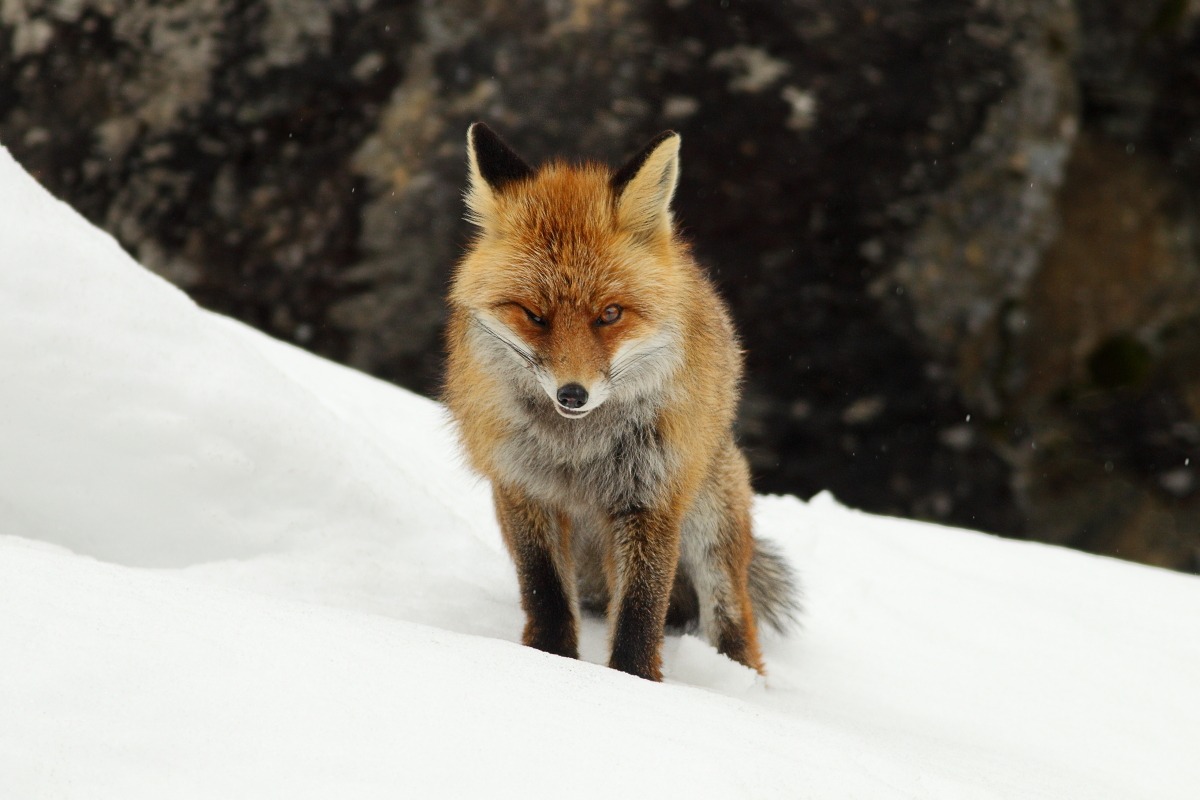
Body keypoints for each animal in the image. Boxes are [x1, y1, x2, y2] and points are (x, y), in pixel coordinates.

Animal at [444, 123, 798, 682]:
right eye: (534, 315)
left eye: (610, 314)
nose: (572, 393)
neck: (577, 450)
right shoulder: (522, 488)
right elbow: (545, 593)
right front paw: (549, 661)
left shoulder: (652, 495)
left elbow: (640, 609)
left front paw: (633, 682)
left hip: (710, 520)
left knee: (732, 614)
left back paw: (742, 681)